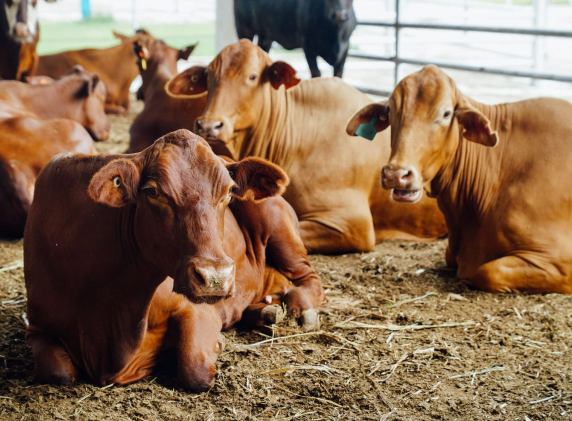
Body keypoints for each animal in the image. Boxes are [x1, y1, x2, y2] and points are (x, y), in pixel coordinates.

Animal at [24, 129, 324, 390]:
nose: (216, 277)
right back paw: (266, 312)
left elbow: (195, 368)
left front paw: (217, 345)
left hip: (276, 223)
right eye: (153, 191)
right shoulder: (37, 327)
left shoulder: (197, 309)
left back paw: (301, 308)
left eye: (228, 192)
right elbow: (58, 372)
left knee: (309, 277)